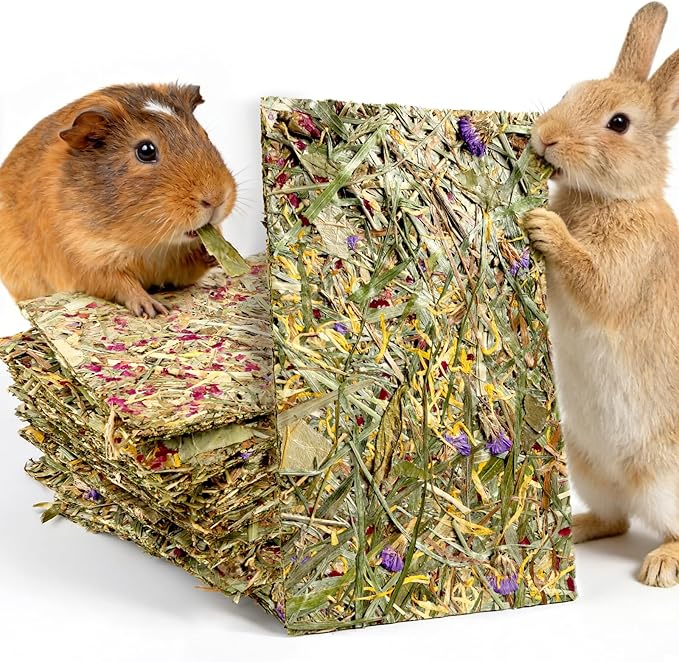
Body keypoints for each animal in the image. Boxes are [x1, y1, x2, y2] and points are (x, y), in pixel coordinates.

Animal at [0, 83, 236, 317]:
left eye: (204, 134)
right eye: (146, 150)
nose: (216, 199)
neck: (150, 247)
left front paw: (215, 252)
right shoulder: (87, 260)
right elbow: (122, 284)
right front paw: (153, 309)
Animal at [523, 1, 679, 587]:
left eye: (618, 123)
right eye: (572, 90)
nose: (544, 137)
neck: (612, 197)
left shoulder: (624, 269)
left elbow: (591, 279)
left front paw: (544, 227)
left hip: (664, 479)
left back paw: (660, 566)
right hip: (585, 462)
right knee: (616, 518)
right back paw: (577, 528)